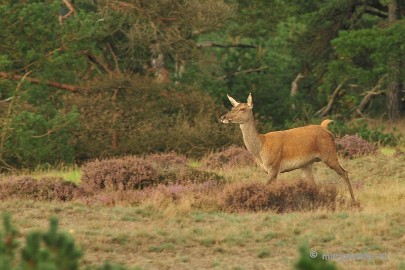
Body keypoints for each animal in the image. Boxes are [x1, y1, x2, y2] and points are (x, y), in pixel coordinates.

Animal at [221, 93, 356, 202]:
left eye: (242, 109)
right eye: (232, 107)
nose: (223, 117)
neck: (260, 148)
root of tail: (326, 129)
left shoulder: (274, 166)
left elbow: (265, 186)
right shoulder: (270, 170)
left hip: (329, 154)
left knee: (345, 173)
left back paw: (353, 200)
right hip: (306, 164)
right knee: (313, 183)